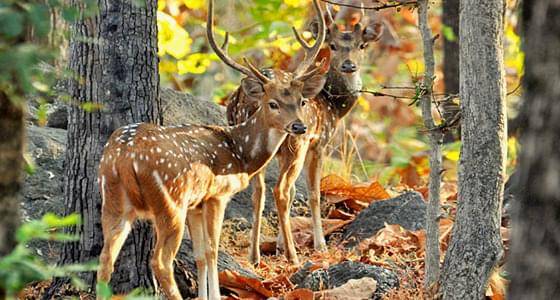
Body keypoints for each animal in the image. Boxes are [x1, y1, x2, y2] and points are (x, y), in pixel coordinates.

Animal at [94, 0, 326, 298]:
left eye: (301, 102)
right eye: (272, 103)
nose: (299, 127)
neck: (241, 153)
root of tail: (124, 158)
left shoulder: (197, 204)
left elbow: (201, 255)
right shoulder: (217, 195)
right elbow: (213, 251)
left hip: (112, 199)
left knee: (104, 260)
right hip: (170, 202)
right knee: (160, 262)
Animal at [225, 1, 382, 264]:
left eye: (362, 45)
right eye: (332, 45)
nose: (349, 65)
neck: (332, 105)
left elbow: (288, 193)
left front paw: (279, 244)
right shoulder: (319, 142)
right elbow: (313, 192)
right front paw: (319, 245)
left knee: (259, 192)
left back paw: (255, 255)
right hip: (296, 142)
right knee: (279, 190)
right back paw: (293, 256)